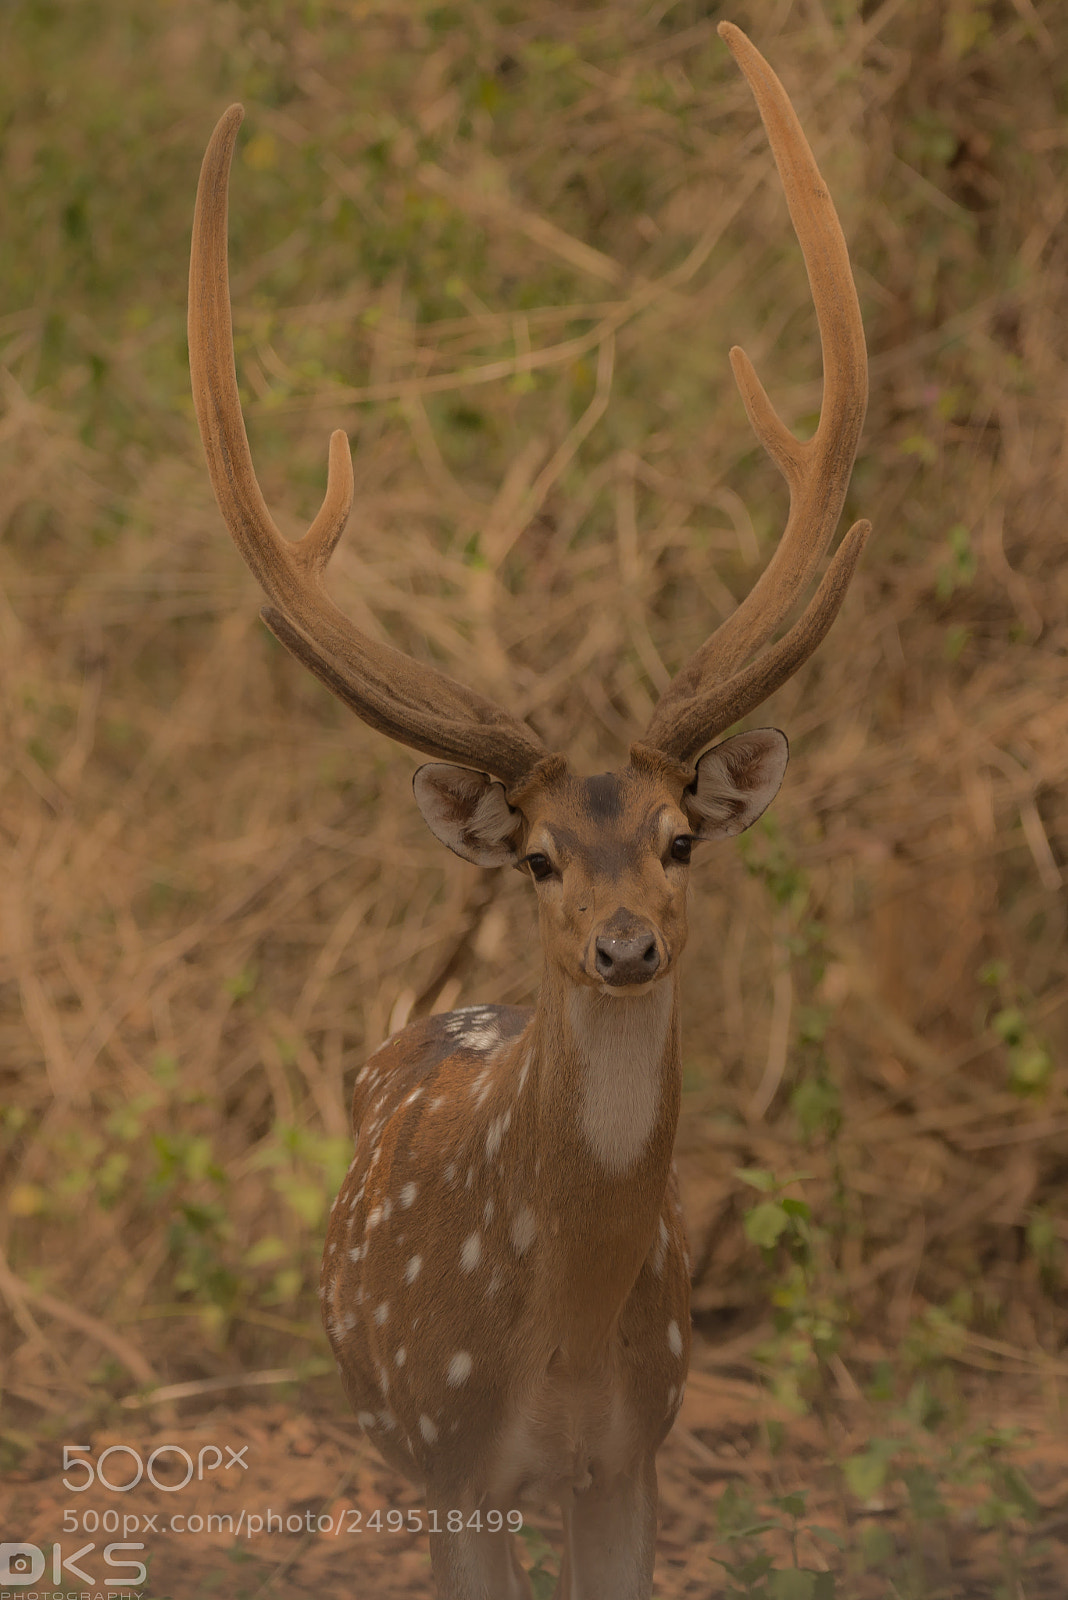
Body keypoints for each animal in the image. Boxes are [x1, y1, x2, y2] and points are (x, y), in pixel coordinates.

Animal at [188, 21, 867, 1600]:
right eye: (544, 860)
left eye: (680, 840)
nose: (625, 945)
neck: (554, 1347)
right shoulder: (450, 1457)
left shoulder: (642, 1443)